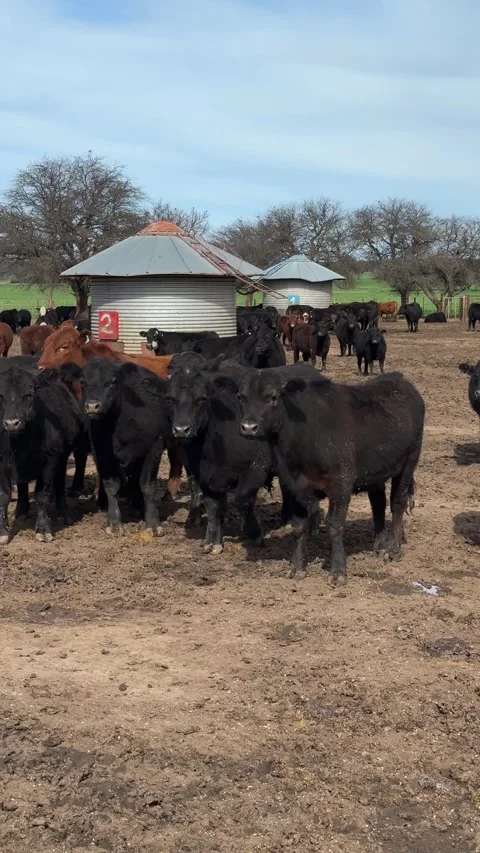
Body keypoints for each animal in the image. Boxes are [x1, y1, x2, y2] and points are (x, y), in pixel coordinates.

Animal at [0, 363, 84, 543]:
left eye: (29, 395)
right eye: (0, 396)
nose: (11, 423)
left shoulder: (51, 460)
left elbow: (43, 494)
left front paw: (43, 529)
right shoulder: (1, 461)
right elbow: (4, 496)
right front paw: (3, 531)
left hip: (63, 458)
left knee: (59, 483)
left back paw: (63, 512)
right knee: (23, 486)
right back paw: (21, 512)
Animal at [238, 366, 424, 584]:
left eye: (273, 397)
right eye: (241, 397)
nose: (249, 427)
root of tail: (399, 380)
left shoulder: (341, 483)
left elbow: (334, 525)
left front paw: (338, 571)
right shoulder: (293, 486)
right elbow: (299, 526)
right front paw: (297, 567)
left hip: (409, 462)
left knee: (397, 503)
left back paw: (393, 549)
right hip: (375, 473)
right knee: (378, 504)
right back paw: (379, 545)